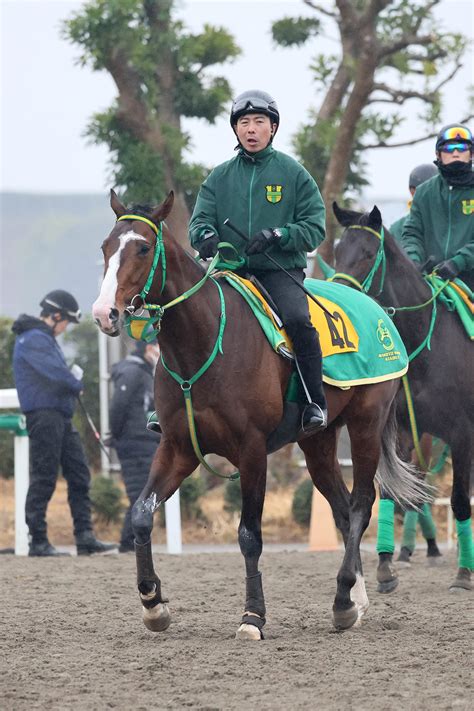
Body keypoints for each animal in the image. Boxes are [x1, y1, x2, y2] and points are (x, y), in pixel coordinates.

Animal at [90, 191, 428, 640]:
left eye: (143, 249)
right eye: (105, 247)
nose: (104, 313)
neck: (204, 341)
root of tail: (377, 311)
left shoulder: (251, 451)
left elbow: (250, 535)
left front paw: (253, 616)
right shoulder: (177, 447)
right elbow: (142, 515)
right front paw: (153, 603)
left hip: (366, 425)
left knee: (360, 504)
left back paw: (343, 597)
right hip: (317, 441)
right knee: (341, 508)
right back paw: (353, 599)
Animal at [332, 203, 472, 592]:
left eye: (368, 254)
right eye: (337, 250)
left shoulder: (463, 433)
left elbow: (459, 501)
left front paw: (463, 574)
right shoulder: (405, 432)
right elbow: (394, 493)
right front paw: (385, 566)